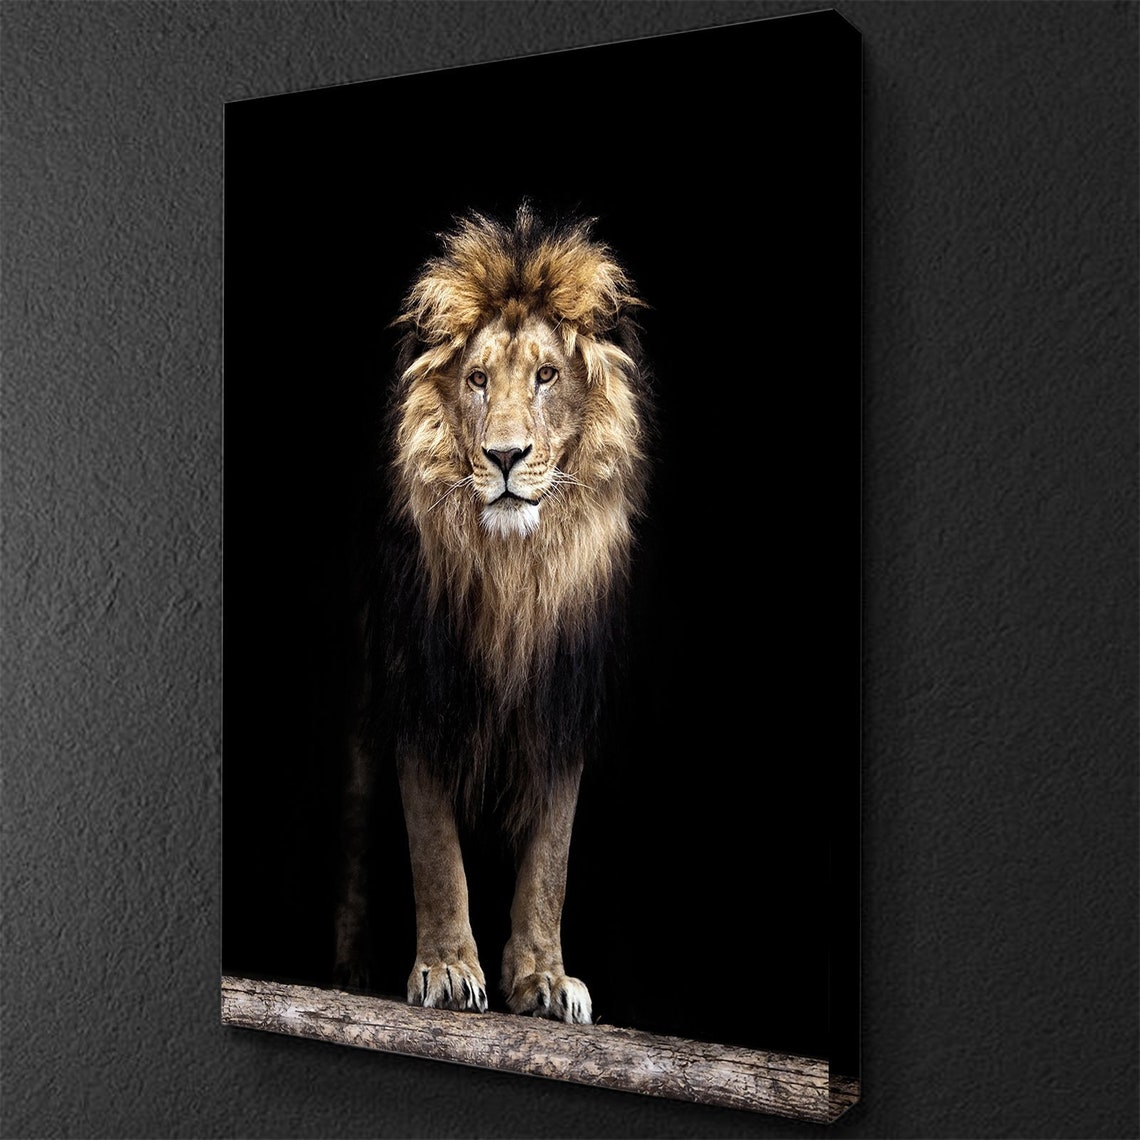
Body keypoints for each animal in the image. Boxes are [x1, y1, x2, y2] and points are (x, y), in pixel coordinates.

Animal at [336, 203, 653, 1025]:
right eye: (478, 379)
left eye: (546, 375)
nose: (505, 457)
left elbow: (550, 862)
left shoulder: (562, 705)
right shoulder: (420, 689)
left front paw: (543, 979)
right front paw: (448, 969)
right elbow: (436, 852)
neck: (514, 573)